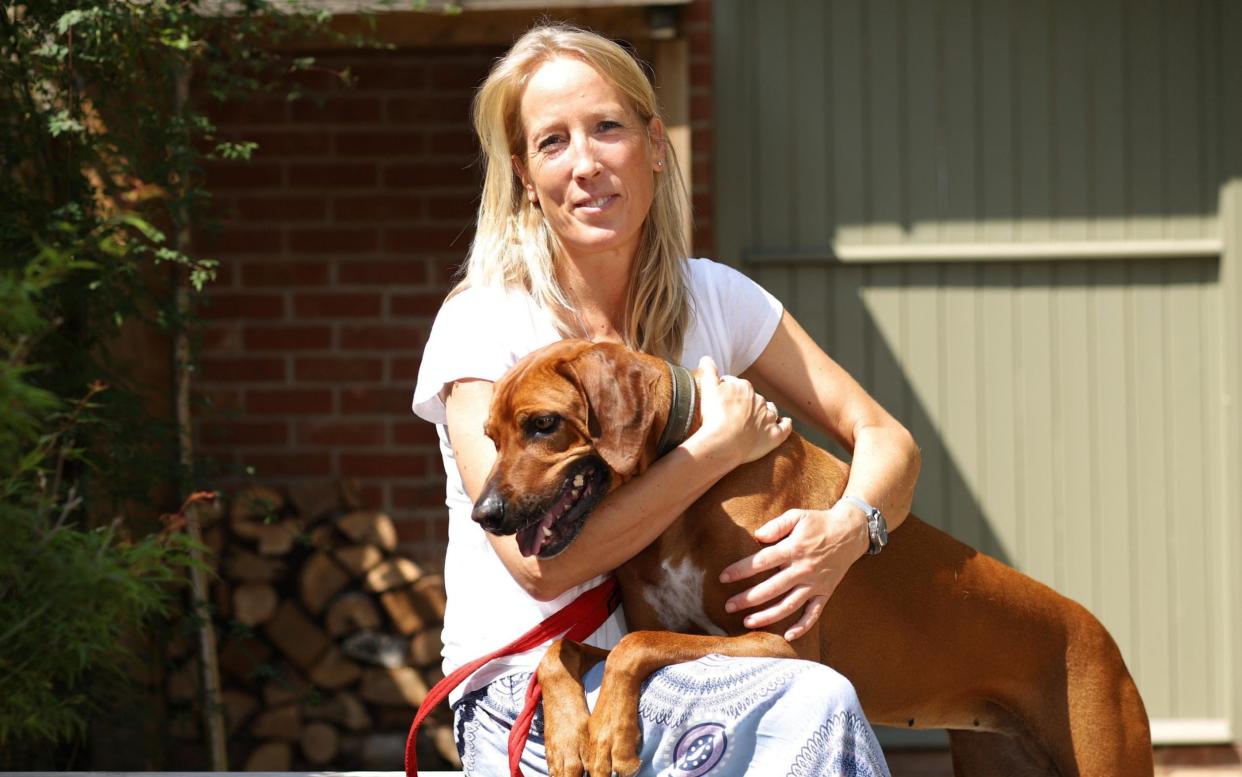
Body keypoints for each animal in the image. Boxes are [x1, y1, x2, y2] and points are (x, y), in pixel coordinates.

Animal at [469, 337, 1147, 774]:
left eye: (542, 424)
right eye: (491, 437)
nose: (485, 516)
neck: (691, 482)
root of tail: (1098, 631)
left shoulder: (782, 641)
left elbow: (634, 648)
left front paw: (610, 734)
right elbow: (559, 650)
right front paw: (568, 735)